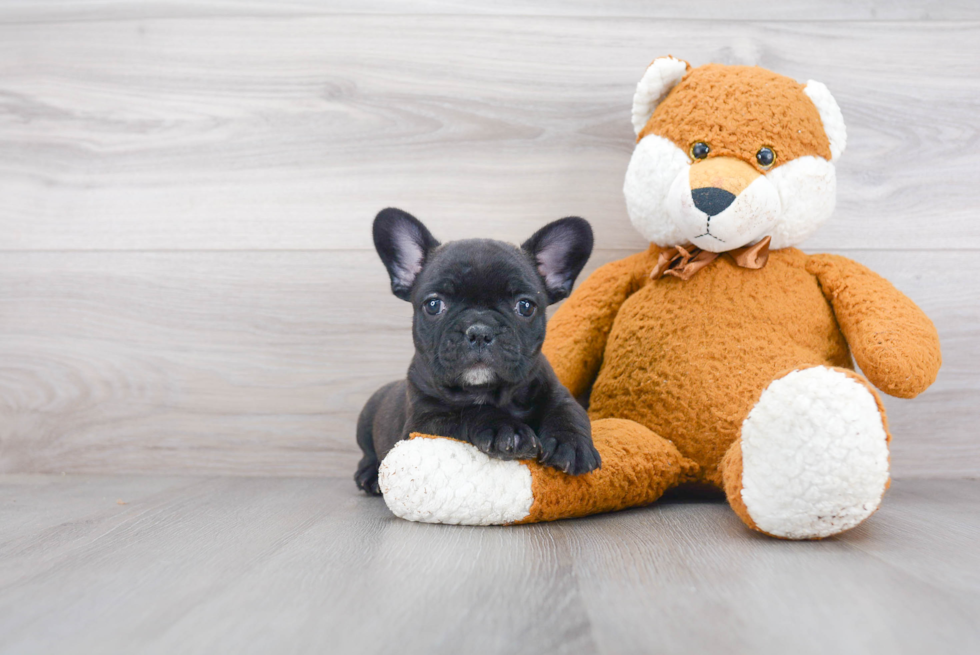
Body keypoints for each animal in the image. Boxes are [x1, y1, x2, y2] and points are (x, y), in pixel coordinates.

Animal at [352, 208, 596, 494]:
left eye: (525, 306)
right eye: (433, 305)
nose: (480, 331)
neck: (489, 391)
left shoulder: (556, 391)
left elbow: (568, 411)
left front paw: (572, 444)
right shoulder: (424, 422)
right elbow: (468, 412)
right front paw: (505, 429)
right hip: (366, 422)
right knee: (367, 454)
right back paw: (369, 475)